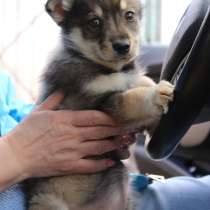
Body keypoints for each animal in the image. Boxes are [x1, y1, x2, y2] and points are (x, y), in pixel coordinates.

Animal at [26, 0, 174, 210]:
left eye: (129, 15)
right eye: (94, 22)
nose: (123, 46)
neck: (107, 69)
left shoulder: (128, 80)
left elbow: (141, 81)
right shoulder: (99, 101)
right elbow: (133, 99)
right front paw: (155, 96)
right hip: (46, 200)